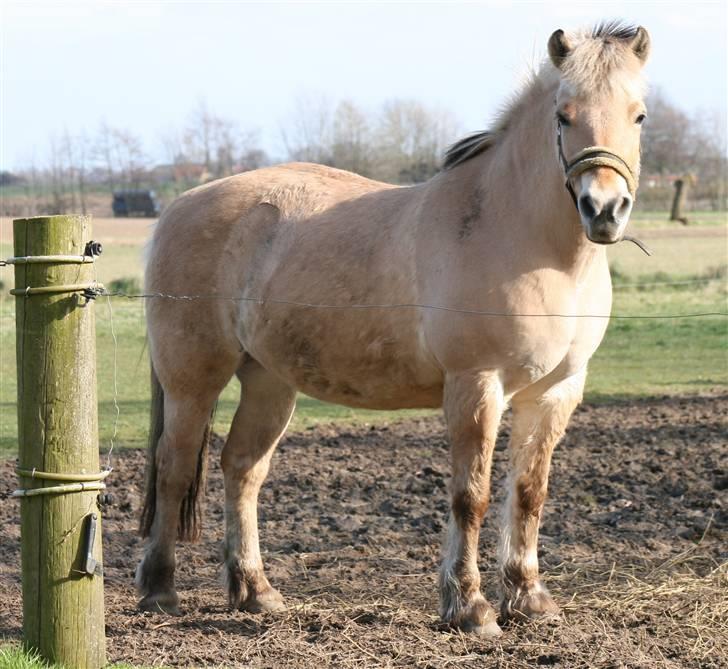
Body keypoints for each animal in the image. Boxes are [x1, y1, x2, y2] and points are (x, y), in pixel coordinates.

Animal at [135, 22, 648, 636]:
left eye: (639, 116)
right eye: (563, 115)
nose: (604, 209)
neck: (523, 237)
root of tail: (177, 208)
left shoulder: (554, 393)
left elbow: (528, 493)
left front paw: (530, 599)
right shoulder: (476, 385)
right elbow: (470, 496)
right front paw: (470, 607)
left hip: (268, 381)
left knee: (242, 468)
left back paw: (255, 590)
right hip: (193, 380)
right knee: (173, 466)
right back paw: (158, 589)